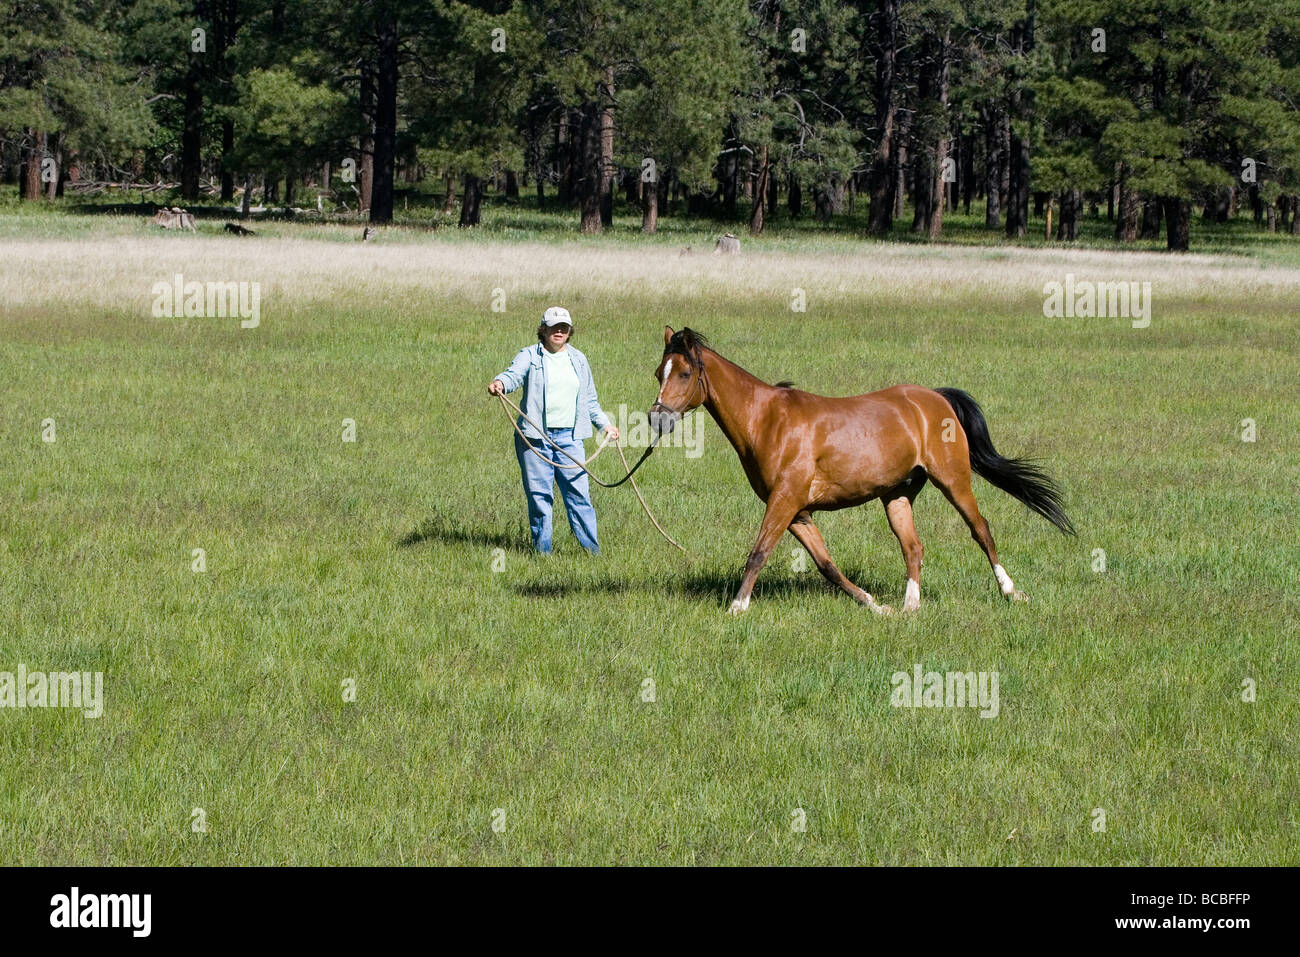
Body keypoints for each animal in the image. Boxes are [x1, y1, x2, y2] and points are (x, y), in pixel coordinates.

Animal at [644, 327, 1071, 613]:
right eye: (658, 372)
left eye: (684, 373)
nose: (656, 419)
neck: (766, 421)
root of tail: (935, 398)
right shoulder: (798, 511)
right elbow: (827, 565)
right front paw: (873, 605)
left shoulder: (784, 502)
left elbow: (759, 552)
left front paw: (737, 607)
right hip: (897, 494)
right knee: (913, 546)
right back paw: (909, 608)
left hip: (953, 480)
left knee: (981, 530)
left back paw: (1010, 592)